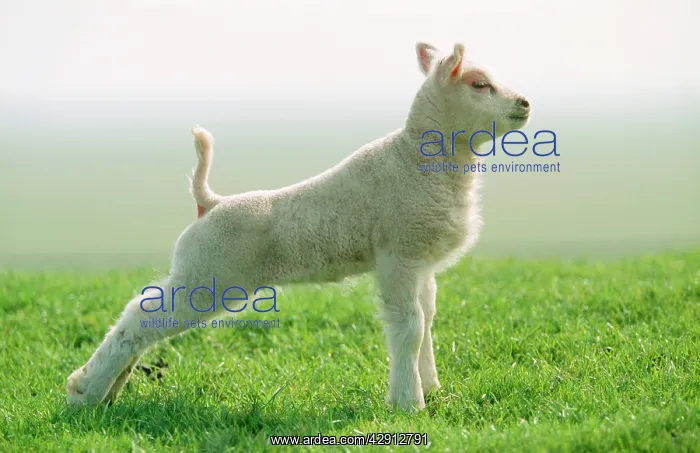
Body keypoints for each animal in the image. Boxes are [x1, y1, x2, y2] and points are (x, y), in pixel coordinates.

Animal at [66, 41, 531, 412]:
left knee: (146, 317)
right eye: (479, 84)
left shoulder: (422, 260)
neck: (423, 159)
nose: (525, 103)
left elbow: (427, 320)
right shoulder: (399, 255)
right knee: (140, 317)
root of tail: (210, 202)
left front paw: (430, 388)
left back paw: (107, 391)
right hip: (206, 275)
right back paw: (84, 391)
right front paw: (408, 404)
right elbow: (409, 327)